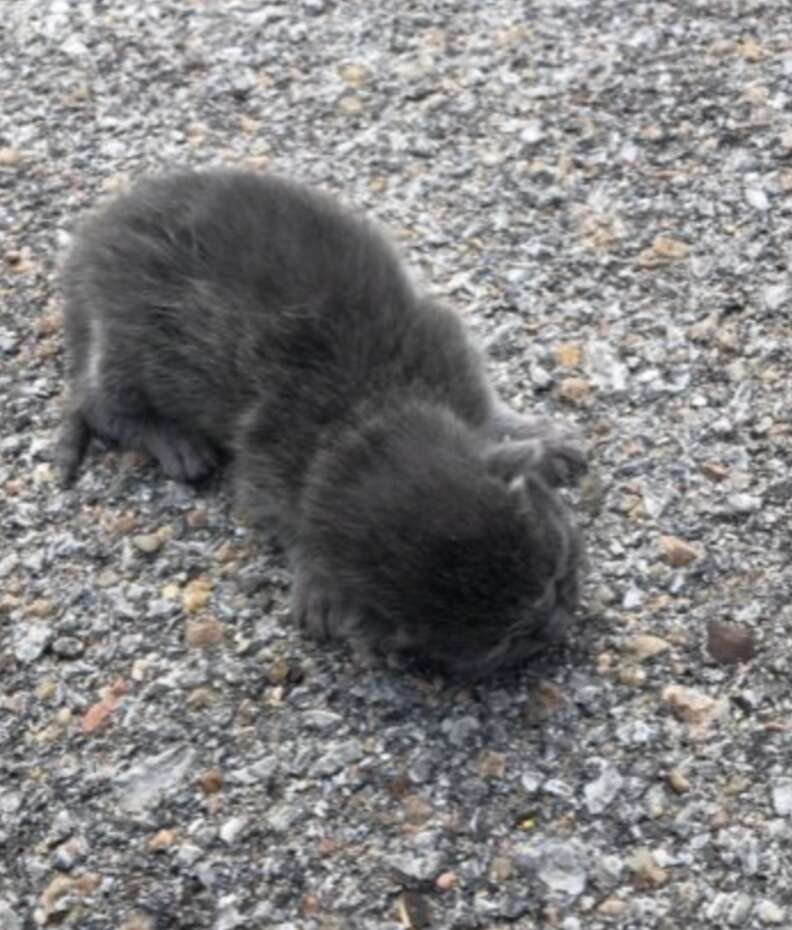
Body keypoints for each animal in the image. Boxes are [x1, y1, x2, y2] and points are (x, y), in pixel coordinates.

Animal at [57, 169, 588, 676]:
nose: (558, 621)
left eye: (559, 573)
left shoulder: (445, 345)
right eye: (510, 642)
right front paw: (318, 582)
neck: (370, 409)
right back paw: (170, 438)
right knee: (96, 402)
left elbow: (491, 411)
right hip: (127, 339)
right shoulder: (267, 458)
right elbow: (284, 518)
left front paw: (537, 437)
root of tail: (90, 243)